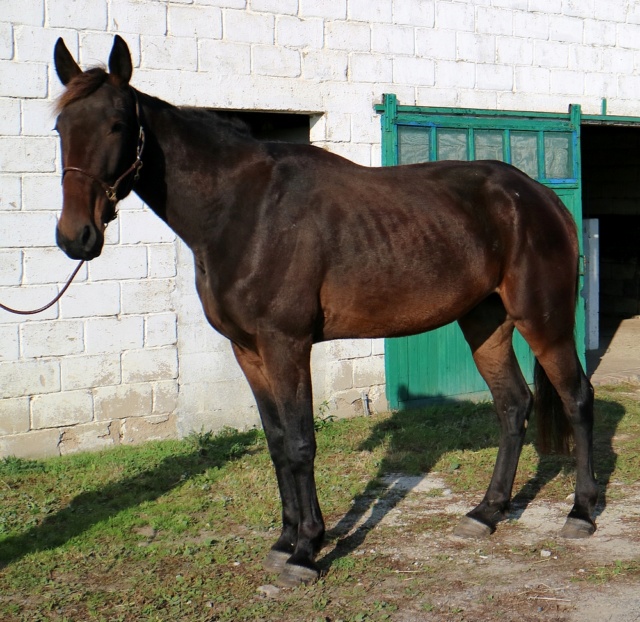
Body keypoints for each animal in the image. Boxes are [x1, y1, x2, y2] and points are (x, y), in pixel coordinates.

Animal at [52, 35, 596, 588]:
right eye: (60, 128)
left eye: (117, 125)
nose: (76, 237)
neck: (243, 210)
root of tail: (541, 197)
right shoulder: (249, 351)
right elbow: (276, 442)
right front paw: (285, 540)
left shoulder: (286, 345)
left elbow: (300, 443)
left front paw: (306, 551)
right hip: (485, 322)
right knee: (513, 405)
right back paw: (486, 513)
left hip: (544, 322)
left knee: (576, 397)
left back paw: (581, 513)